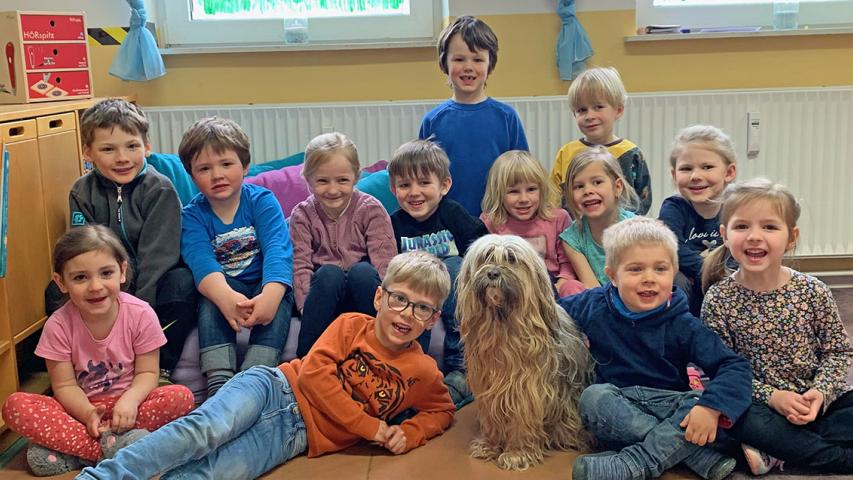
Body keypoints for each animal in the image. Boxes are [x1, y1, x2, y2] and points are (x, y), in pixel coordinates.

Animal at [456, 234, 593, 470]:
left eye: (511, 258)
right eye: (486, 257)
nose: (493, 273)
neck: (503, 326)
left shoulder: (525, 388)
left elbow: (522, 420)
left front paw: (517, 453)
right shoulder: (489, 387)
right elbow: (492, 417)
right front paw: (489, 445)